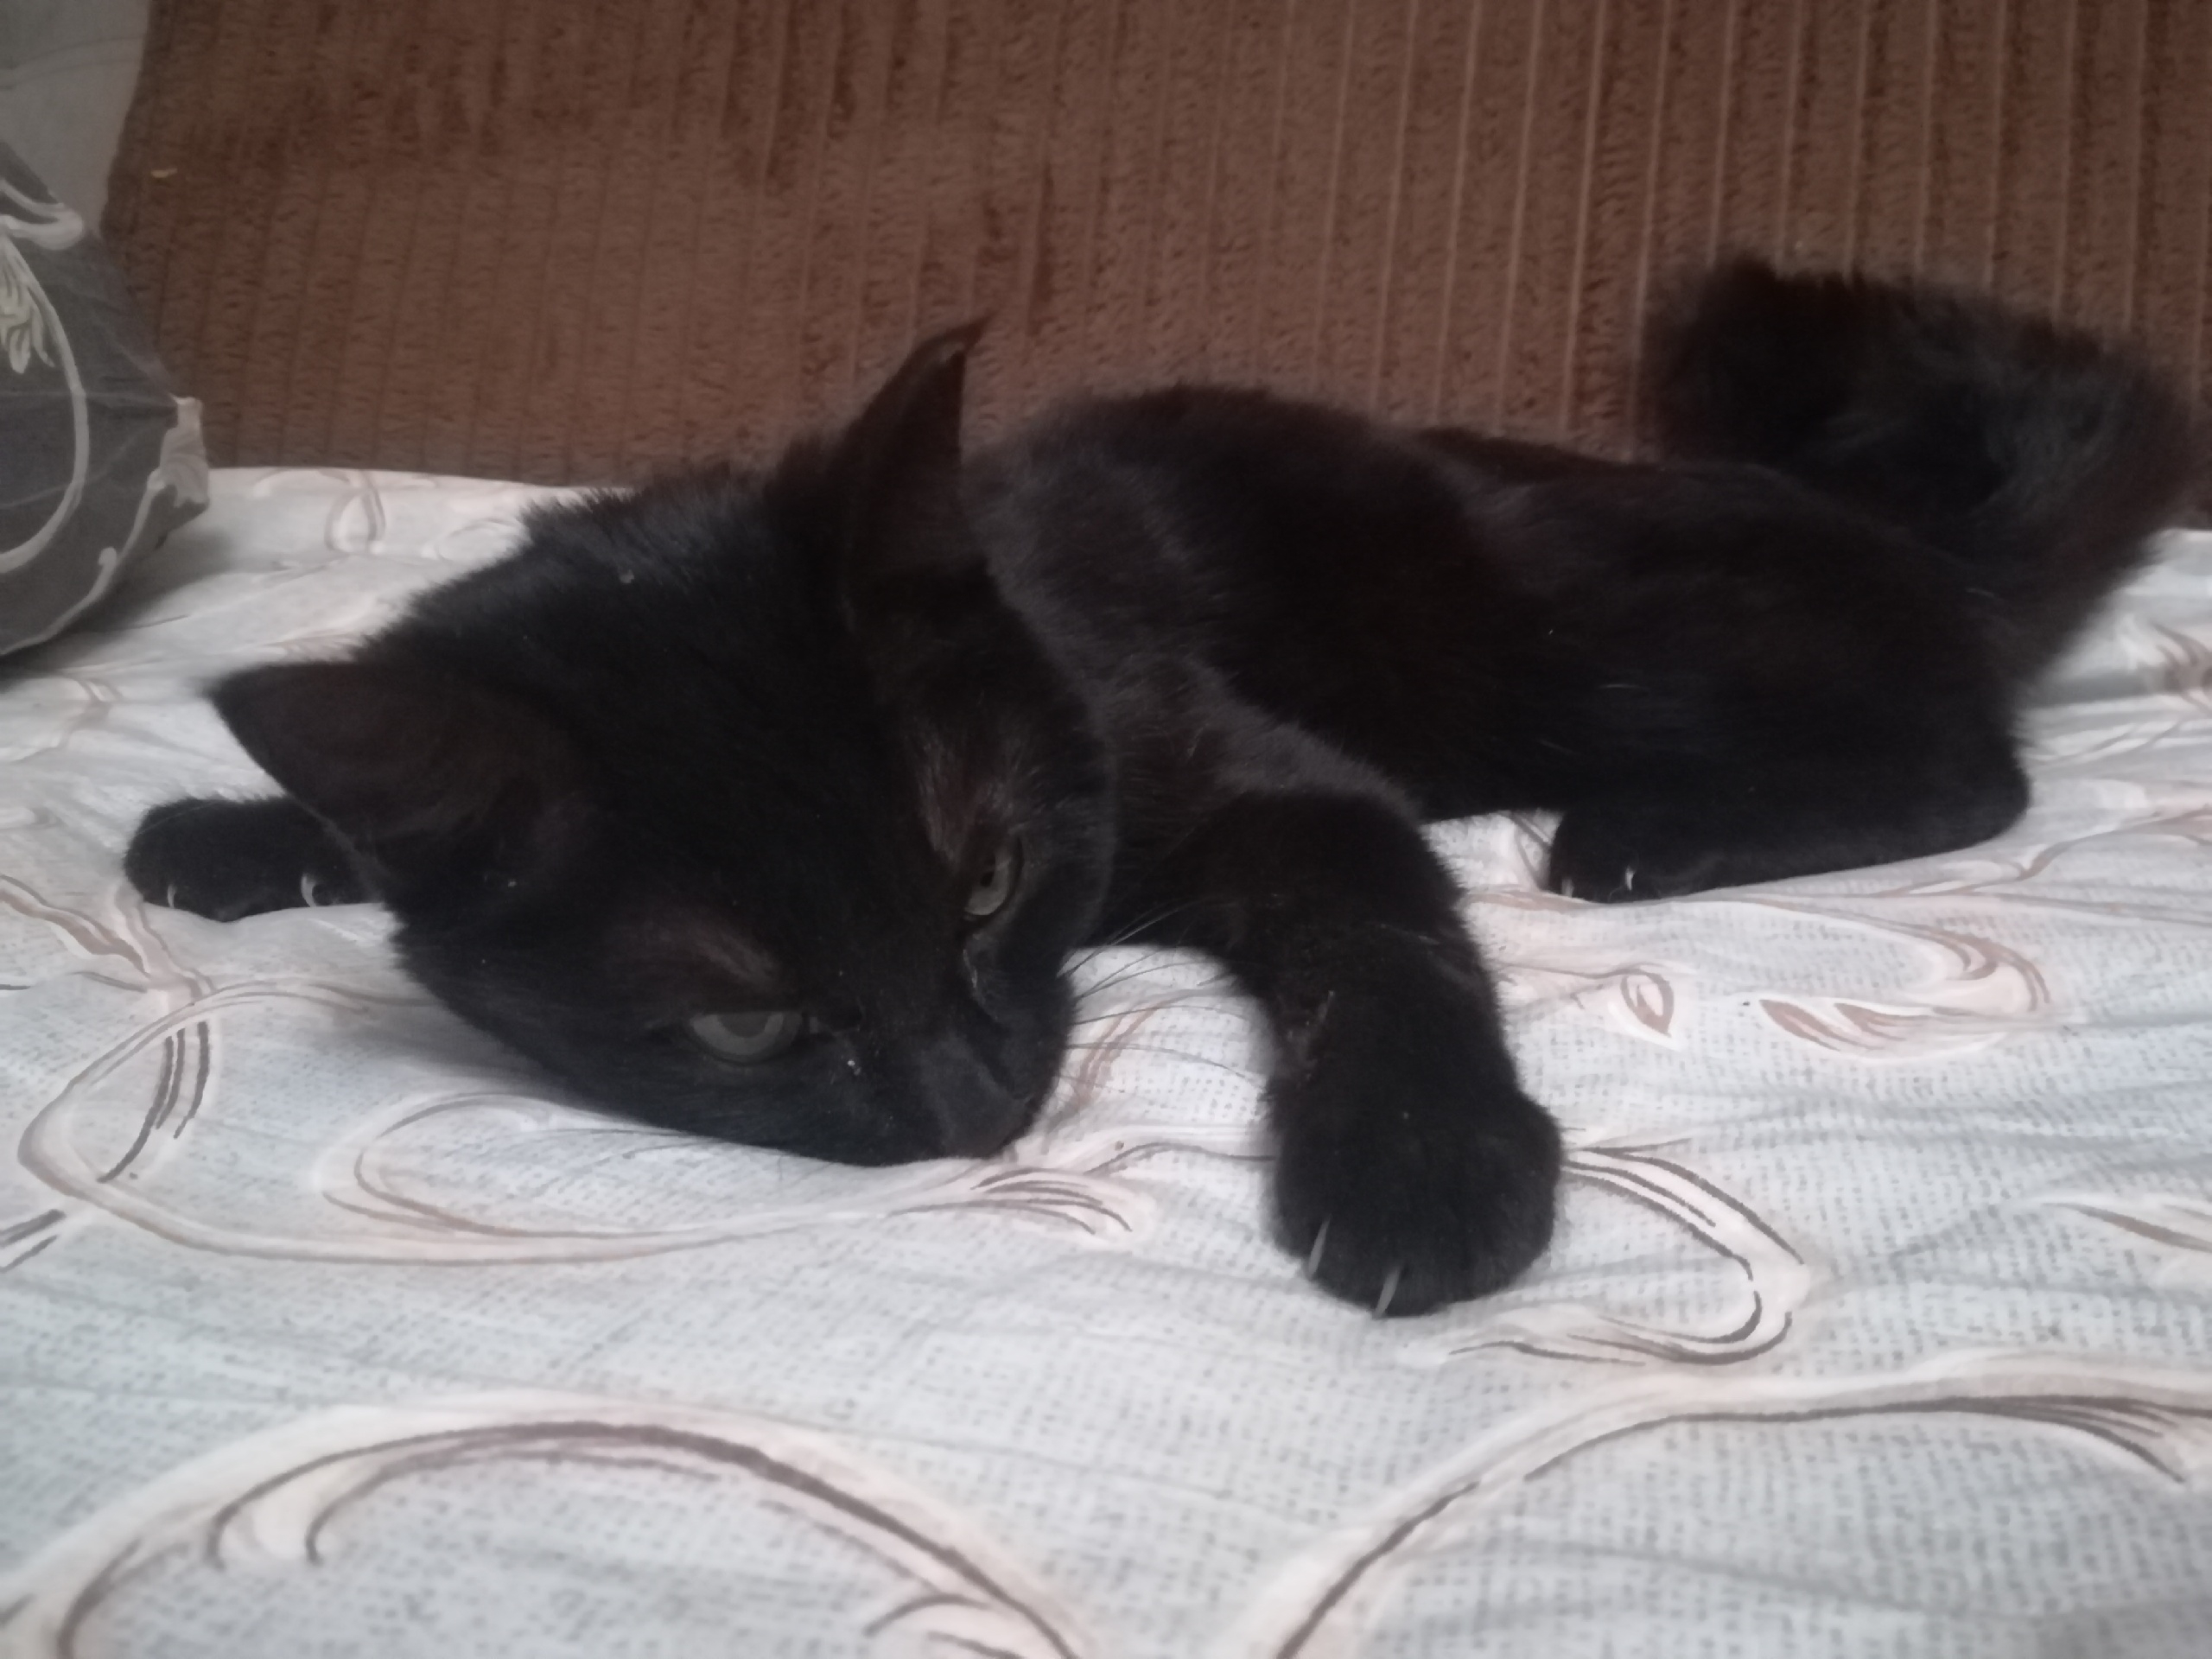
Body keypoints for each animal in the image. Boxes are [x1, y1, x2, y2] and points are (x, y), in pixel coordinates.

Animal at [126, 259, 2194, 1316]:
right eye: (741, 1026)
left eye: (982, 884)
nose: (971, 1114)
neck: (1022, 625)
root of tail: (1892, 525)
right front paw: (232, 830)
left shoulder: (1275, 781)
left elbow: (1383, 948)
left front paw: (1420, 1164)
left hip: (1568, 630)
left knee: (1968, 764)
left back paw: (1648, 836)